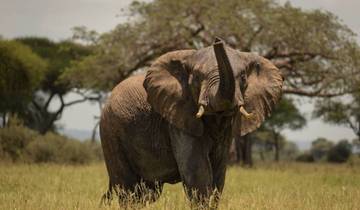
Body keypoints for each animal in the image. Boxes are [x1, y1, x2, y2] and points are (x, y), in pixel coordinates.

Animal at [99, 38, 284, 208]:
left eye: (244, 77)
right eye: (196, 77)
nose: (218, 40)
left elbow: (218, 173)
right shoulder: (178, 115)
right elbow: (196, 171)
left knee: (146, 193)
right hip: (111, 132)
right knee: (128, 189)